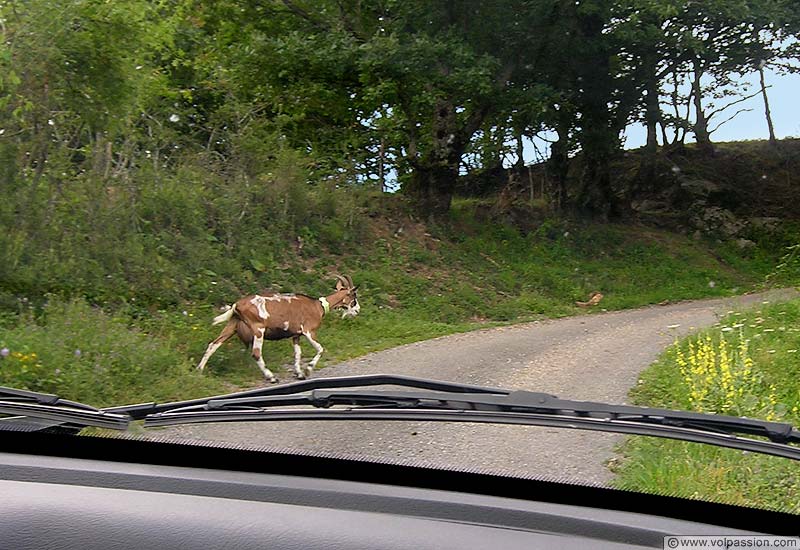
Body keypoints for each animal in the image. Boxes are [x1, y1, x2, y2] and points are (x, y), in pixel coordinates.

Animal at [197, 276, 360, 384]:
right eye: (353, 296)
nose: (358, 309)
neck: (318, 306)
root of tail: (236, 305)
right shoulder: (309, 331)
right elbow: (321, 349)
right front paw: (308, 370)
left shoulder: (296, 335)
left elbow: (297, 353)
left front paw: (299, 373)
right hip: (258, 328)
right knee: (256, 353)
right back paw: (272, 377)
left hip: (232, 325)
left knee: (213, 344)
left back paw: (199, 370)